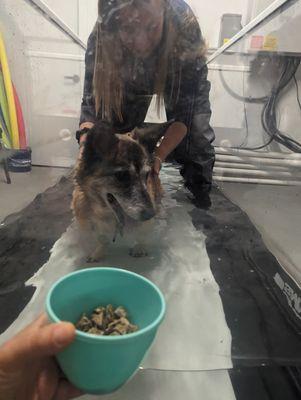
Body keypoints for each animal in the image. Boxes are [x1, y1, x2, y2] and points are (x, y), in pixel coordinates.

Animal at [71, 120, 168, 260]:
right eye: (122, 176)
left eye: (146, 175)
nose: (151, 214)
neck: (107, 213)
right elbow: (102, 238)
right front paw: (99, 251)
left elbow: (142, 234)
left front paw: (139, 247)